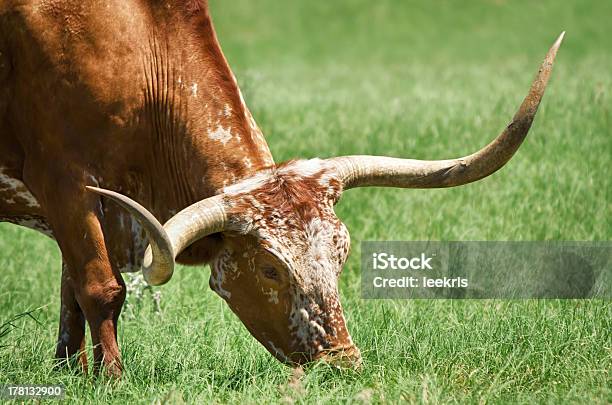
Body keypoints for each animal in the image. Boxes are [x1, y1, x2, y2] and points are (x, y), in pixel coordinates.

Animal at [0, 0, 564, 376]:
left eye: (342, 254)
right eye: (270, 269)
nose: (342, 364)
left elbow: (72, 292)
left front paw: (72, 374)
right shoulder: (64, 182)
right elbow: (101, 288)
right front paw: (112, 381)